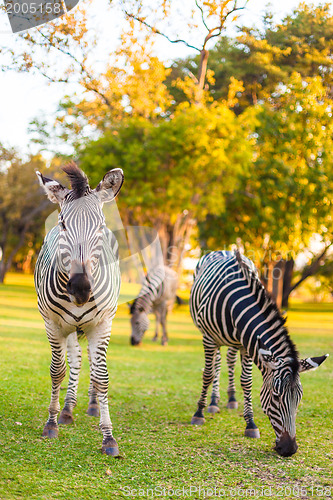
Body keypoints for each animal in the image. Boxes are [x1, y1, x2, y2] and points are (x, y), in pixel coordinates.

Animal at [34, 164, 124, 458]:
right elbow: (57, 370)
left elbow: (102, 376)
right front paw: (51, 422)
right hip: (70, 327)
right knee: (75, 360)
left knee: (93, 364)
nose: (81, 287)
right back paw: (67, 409)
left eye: (100, 226)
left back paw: (93, 405)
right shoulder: (52, 324)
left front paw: (108, 437)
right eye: (62, 224)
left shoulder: (103, 324)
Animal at [189, 250, 326, 458]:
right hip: (213, 338)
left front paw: (250, 424)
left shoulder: (247, 343)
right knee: (217, 363)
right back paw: (213, 402)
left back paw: (231, 399)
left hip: (233, 342)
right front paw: (199, 413)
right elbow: (208, 374)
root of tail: (223, 250)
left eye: (299, 398)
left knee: (229, 360)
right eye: (276, 396)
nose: (289, 449)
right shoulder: (209, 338)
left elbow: (246, 381)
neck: (236, 305)